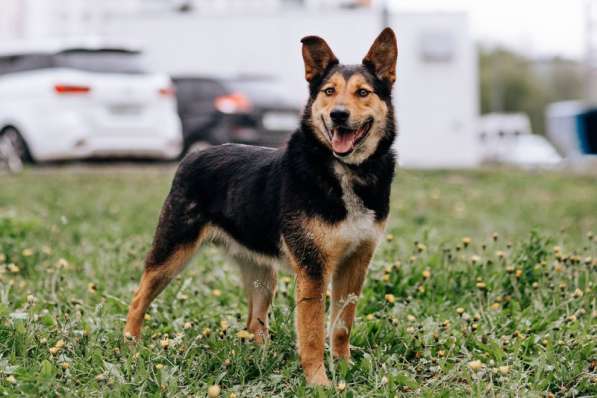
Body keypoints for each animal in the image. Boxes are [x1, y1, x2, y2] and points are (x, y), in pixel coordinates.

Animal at [124, 28, 398, 386]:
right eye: (329, 91)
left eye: (363, 92)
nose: (338, 114)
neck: (344, 172)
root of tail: (193, 155)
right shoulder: (313, 269)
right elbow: (312, 333)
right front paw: (319, 382)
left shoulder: (355, 265)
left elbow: (341, 326)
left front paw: (345, 368)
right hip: (171, 254)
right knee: (138, 299)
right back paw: (130, 346)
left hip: (262, 276)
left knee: (254, 323)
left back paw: (262, 359)